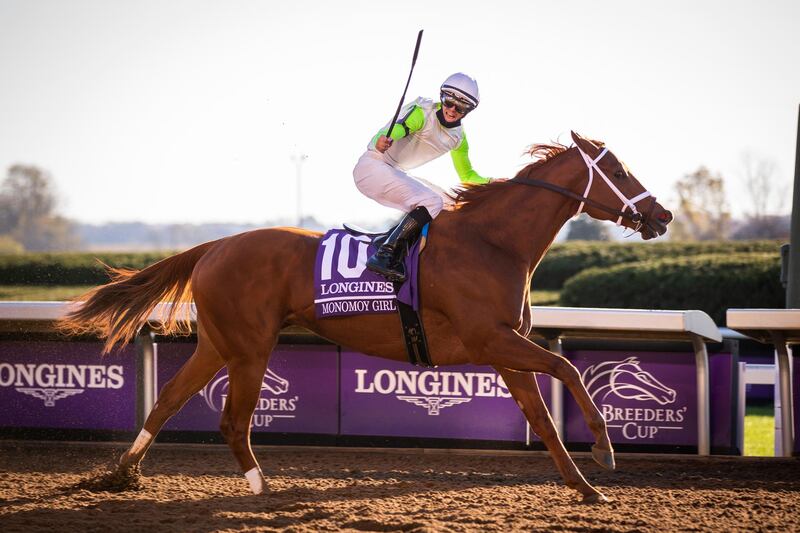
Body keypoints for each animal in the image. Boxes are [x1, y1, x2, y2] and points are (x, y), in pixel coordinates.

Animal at [61, 131, 668, 500]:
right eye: (620, 170)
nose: (661, 216)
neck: (491, 242)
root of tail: (215, 245)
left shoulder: (504, 347)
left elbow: (541, 417)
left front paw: (585, 487)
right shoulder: (491, 340)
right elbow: (566, 370)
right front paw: (605, 450)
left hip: (219, 343)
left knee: (167, 399)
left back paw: (121, 474)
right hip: (251, 348)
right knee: (233, 420)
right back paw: (262, 489)